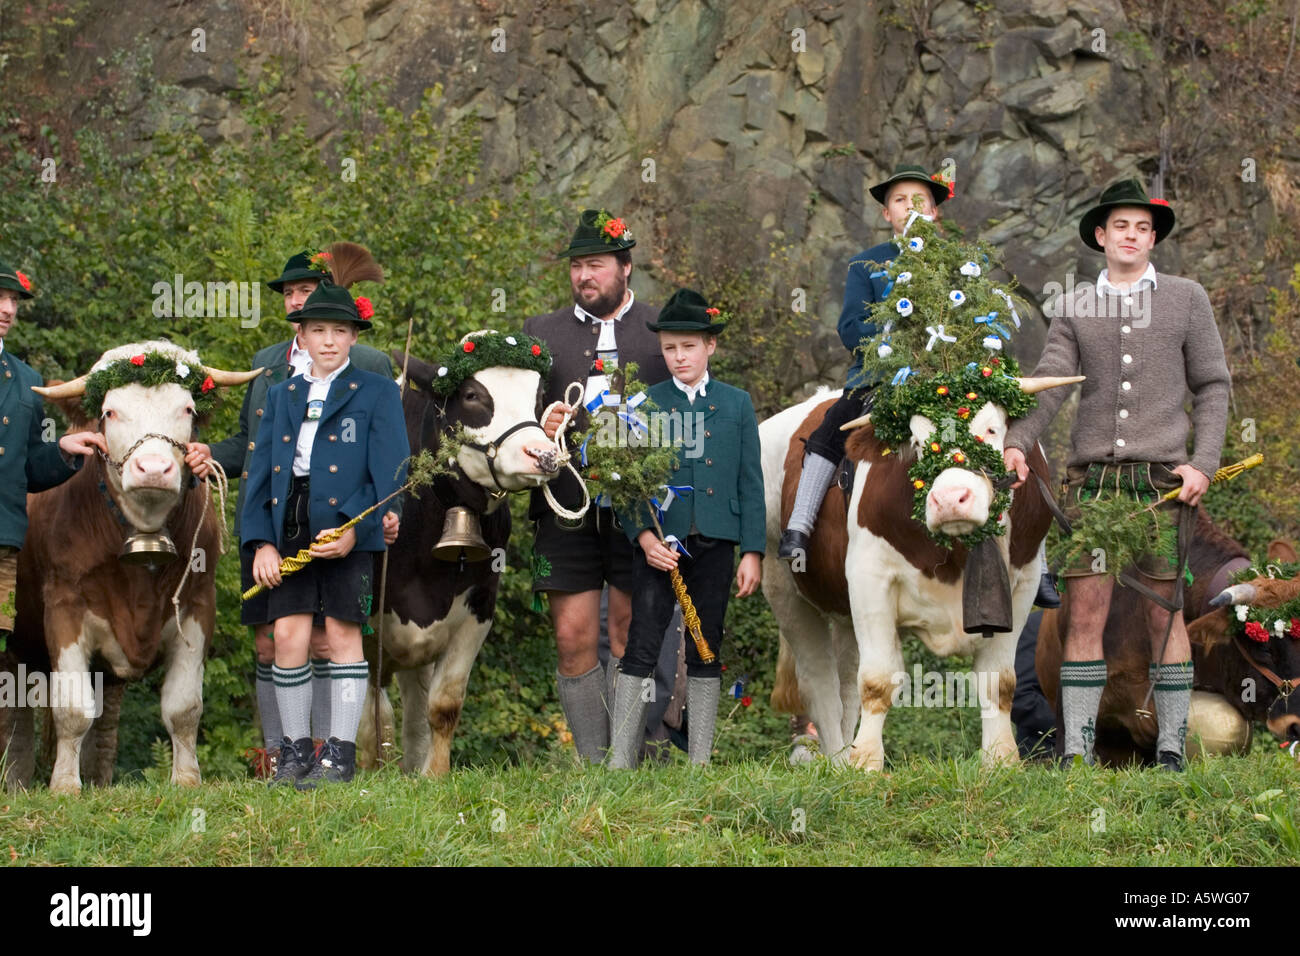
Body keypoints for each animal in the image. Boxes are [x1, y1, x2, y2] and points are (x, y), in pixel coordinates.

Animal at [0, 343, 258, 790]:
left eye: (187, 408)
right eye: (109, 412)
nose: (153, 469)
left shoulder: (198, 605)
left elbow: (183, 708)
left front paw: (186, 780)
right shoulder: (63, 607)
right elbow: (72, 709)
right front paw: (64, 786)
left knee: (105, 723)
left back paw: (98, 781)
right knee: (15, 718)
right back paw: (15, 783)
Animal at [356, 345, 564, 780]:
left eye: (539, 397)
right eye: (471, 395)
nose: (544, 455)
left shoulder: (479, 608)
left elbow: (443, 704)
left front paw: (433, 776)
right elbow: (371, 713)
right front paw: (366, 773)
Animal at [759, 382, 1066, 770]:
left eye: (992, 430)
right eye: (919, 443)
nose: (950, 499)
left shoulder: (1021, 586)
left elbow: (999, 682)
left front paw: (1001, 762)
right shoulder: (869, 578)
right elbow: (877, 680)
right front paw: (867, 764)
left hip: (845, 614)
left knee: (845, 684)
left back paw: (843, 757)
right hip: (784, 589)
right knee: (820, 683)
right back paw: (841, 761)